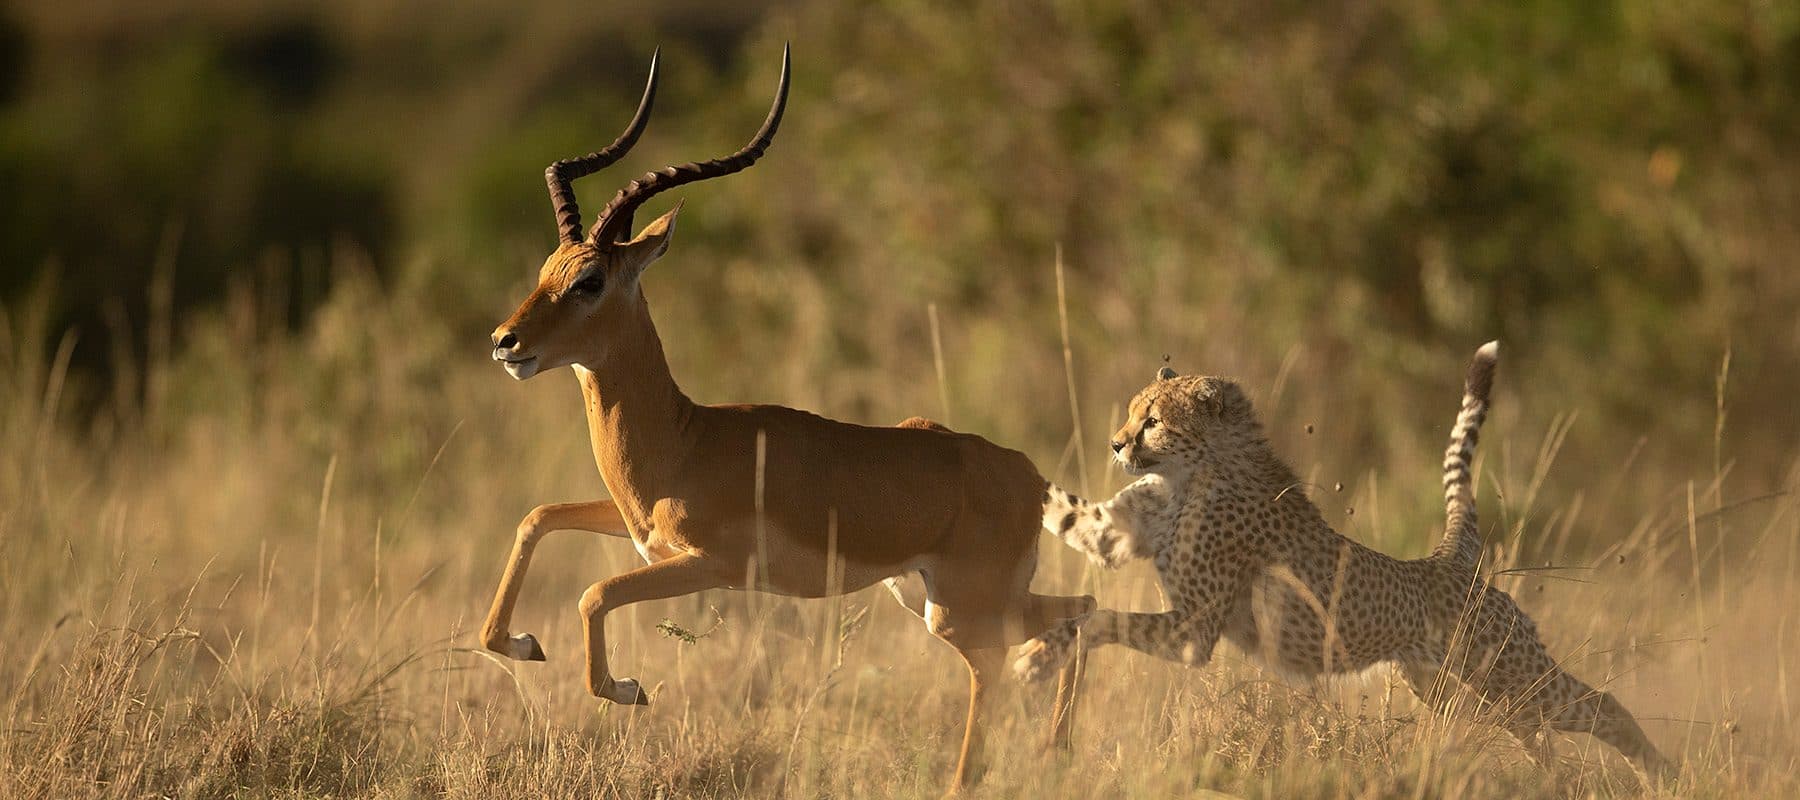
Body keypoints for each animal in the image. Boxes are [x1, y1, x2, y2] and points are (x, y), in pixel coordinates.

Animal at [1017, 342, 1671, 778]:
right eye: (1134, 413)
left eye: (1152, 419)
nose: (1115, 444)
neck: (1193, 472)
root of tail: (1446, 561)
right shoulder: (1114, 536)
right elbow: (1067, 514)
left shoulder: (1192, 631)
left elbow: (1096, 618)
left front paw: (1038, 655)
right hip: (1455, 691)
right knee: (1530, 732)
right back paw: (1557, 777)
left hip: (1510, 671)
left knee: (1601, 706)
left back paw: (1660, 772)